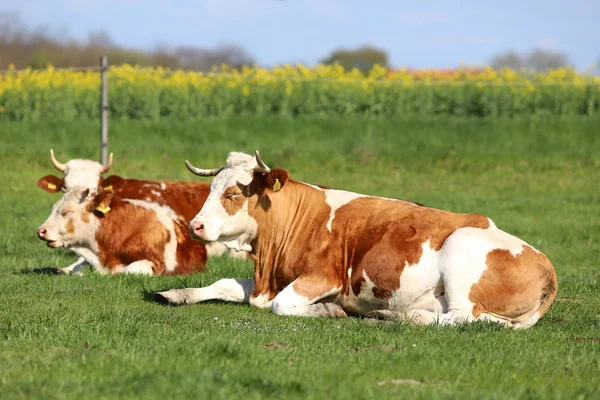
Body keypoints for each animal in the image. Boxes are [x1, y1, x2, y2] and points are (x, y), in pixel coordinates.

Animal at [158, 150, 556, 328]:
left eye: (233, 194)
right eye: (212, 187)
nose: (195, 226)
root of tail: (546, 264)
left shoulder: (323, 278)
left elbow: (281, 305)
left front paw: (331, 309)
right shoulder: (269, 279)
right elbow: (225, 284)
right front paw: (175, 294)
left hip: (460, 249)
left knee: (458, 317)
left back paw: (398, 316)